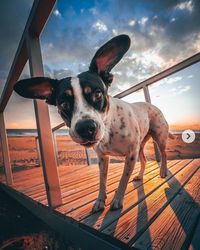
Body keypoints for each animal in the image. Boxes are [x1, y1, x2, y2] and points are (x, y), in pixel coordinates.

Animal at [14, 34, 173, 212]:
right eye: (63, 104)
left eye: (97, 94)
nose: (86, 128)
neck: (109, 129)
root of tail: (151, 105)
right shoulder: (103, 158)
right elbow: (102, 181)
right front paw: (100, 200)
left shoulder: (130, 154)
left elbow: (123, 179)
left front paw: (117, 199)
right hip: (140, 146)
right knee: (144, 160)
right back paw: (139, 176)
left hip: (159, 137)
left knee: (164, 153)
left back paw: (163, 171)